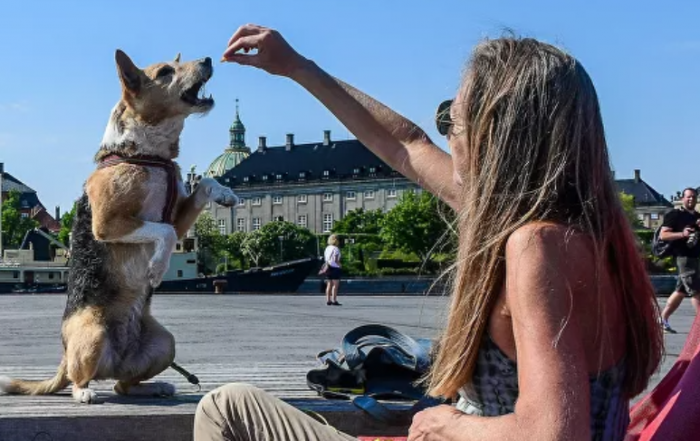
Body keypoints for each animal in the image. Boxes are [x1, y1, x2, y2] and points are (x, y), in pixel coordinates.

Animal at [0, 49, 238, 402]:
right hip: (94, 334)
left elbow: (204, 184)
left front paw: (225, 193)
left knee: (122, 385)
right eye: (166, 72)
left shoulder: (176, 216)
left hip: (165, 344)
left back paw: (156, 386)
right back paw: (84, 393)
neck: (147, 154)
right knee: (79, 378)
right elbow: (164, 233)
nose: (208, 59)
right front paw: (157, 268)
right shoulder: (109, 224)